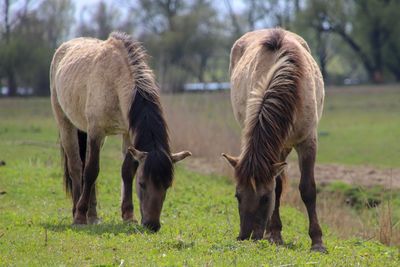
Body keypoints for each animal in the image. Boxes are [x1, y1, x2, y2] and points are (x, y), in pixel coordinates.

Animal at [50, 31, 192, 232]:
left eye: (167, 185)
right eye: (142, 183)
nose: (152, 225)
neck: (116, 81)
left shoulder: (127, 134)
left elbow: (126, 171)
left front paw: (128, 215)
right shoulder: (96, 130)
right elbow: (92, 171)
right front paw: (79, 215)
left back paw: (93, 216)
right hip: (66, 124)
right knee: (77, 167)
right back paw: (78, 211)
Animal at [220, 29, 326, 253]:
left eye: (264, 198)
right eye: (237, 195)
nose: (245, 237)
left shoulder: (308, 141)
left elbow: (308, 189)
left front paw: (317, 242)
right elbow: (277, 186)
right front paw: (275, 234)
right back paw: (273, 232)